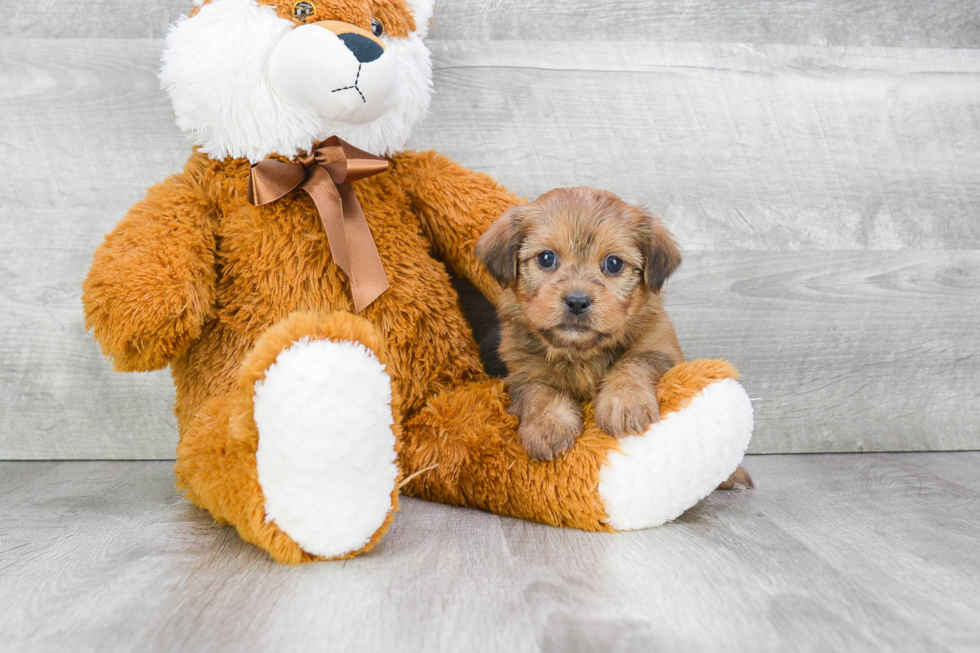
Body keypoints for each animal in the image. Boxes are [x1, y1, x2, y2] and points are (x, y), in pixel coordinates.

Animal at [474, 186, 680, 460]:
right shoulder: (521, 372)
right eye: (546, 258)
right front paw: (546, 425)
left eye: (614, 263)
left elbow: (633, 363)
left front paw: (625, 402)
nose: (577, 302)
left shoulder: (661, 348)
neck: (580, 352)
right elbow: (538, 392)